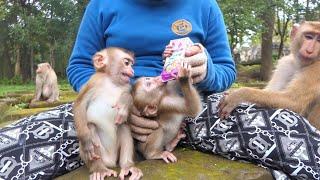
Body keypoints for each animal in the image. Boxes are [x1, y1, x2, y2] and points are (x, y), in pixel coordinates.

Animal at [73, 47, 143, 180]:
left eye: (132, 64)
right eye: (127, 63)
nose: (132, 70)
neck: (112, 81)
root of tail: (111, 161)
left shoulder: (127, 86)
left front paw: (125, 101)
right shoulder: (93, 82)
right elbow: (80, 104)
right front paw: (86, 140)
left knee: (123, 126)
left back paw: (127, 166)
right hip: (101, 155)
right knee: (91, 126)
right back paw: (99, 169)